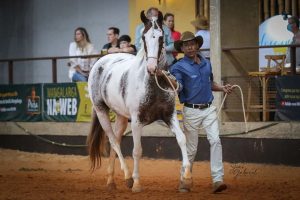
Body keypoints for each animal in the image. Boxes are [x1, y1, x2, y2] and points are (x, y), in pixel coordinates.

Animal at [86, 10, 191, 192]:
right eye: (144, 37)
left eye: (161, 37)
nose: (152, 68)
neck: (152, 84)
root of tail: (100, 61)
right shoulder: (136, 121)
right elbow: (137, 151)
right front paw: (136, 183)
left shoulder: (169, 116)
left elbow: (181, 139)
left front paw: (186, 174)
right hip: (101, 111)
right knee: (113, 141)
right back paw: (127, 177)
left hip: (121, 117)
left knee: (116, 141)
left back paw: (111, 181)